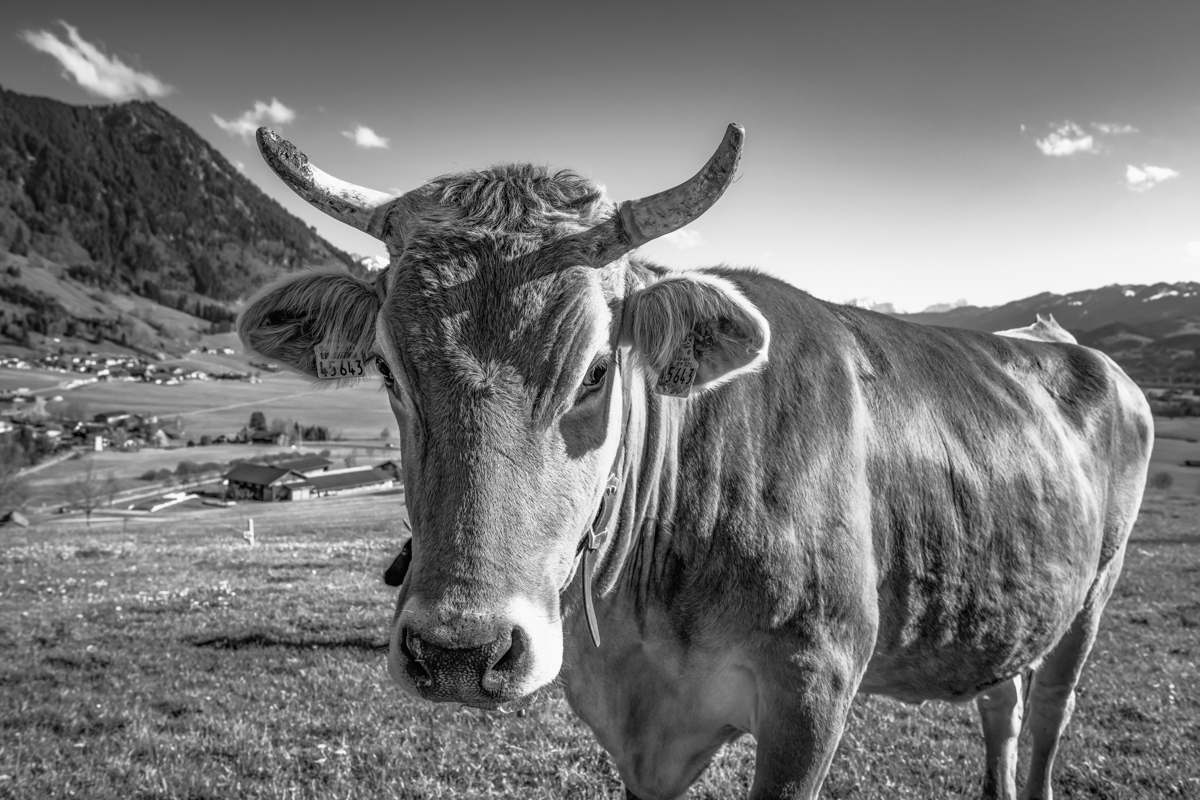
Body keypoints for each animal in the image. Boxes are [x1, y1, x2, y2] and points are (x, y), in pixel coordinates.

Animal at [238, 124, 1153, 800]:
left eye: (596, 371)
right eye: (389, 371)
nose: (461, 652)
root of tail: (1061, 342)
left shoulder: (812, 693)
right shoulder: (630, 722)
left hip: (1096, 593)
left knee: (1048, 715)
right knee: (1002, 700)